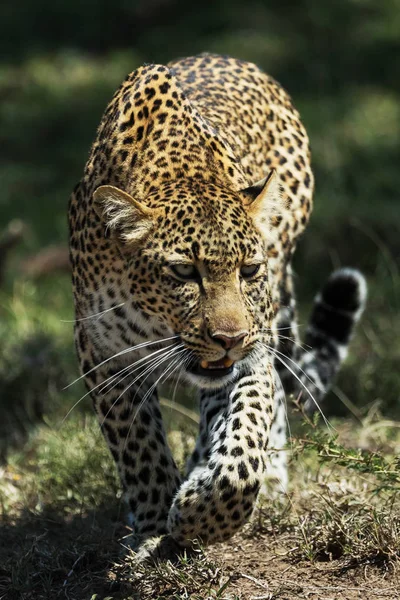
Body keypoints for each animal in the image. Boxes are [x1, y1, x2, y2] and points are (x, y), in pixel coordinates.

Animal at [69, 51, 366, 556]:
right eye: (185, 273)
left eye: (248, 270)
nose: (230, 338)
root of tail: (231, 58)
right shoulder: (100, 349)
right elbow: (137, 443)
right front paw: (154, 522)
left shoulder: (253, 354)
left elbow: (247, 433)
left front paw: (199, 515)